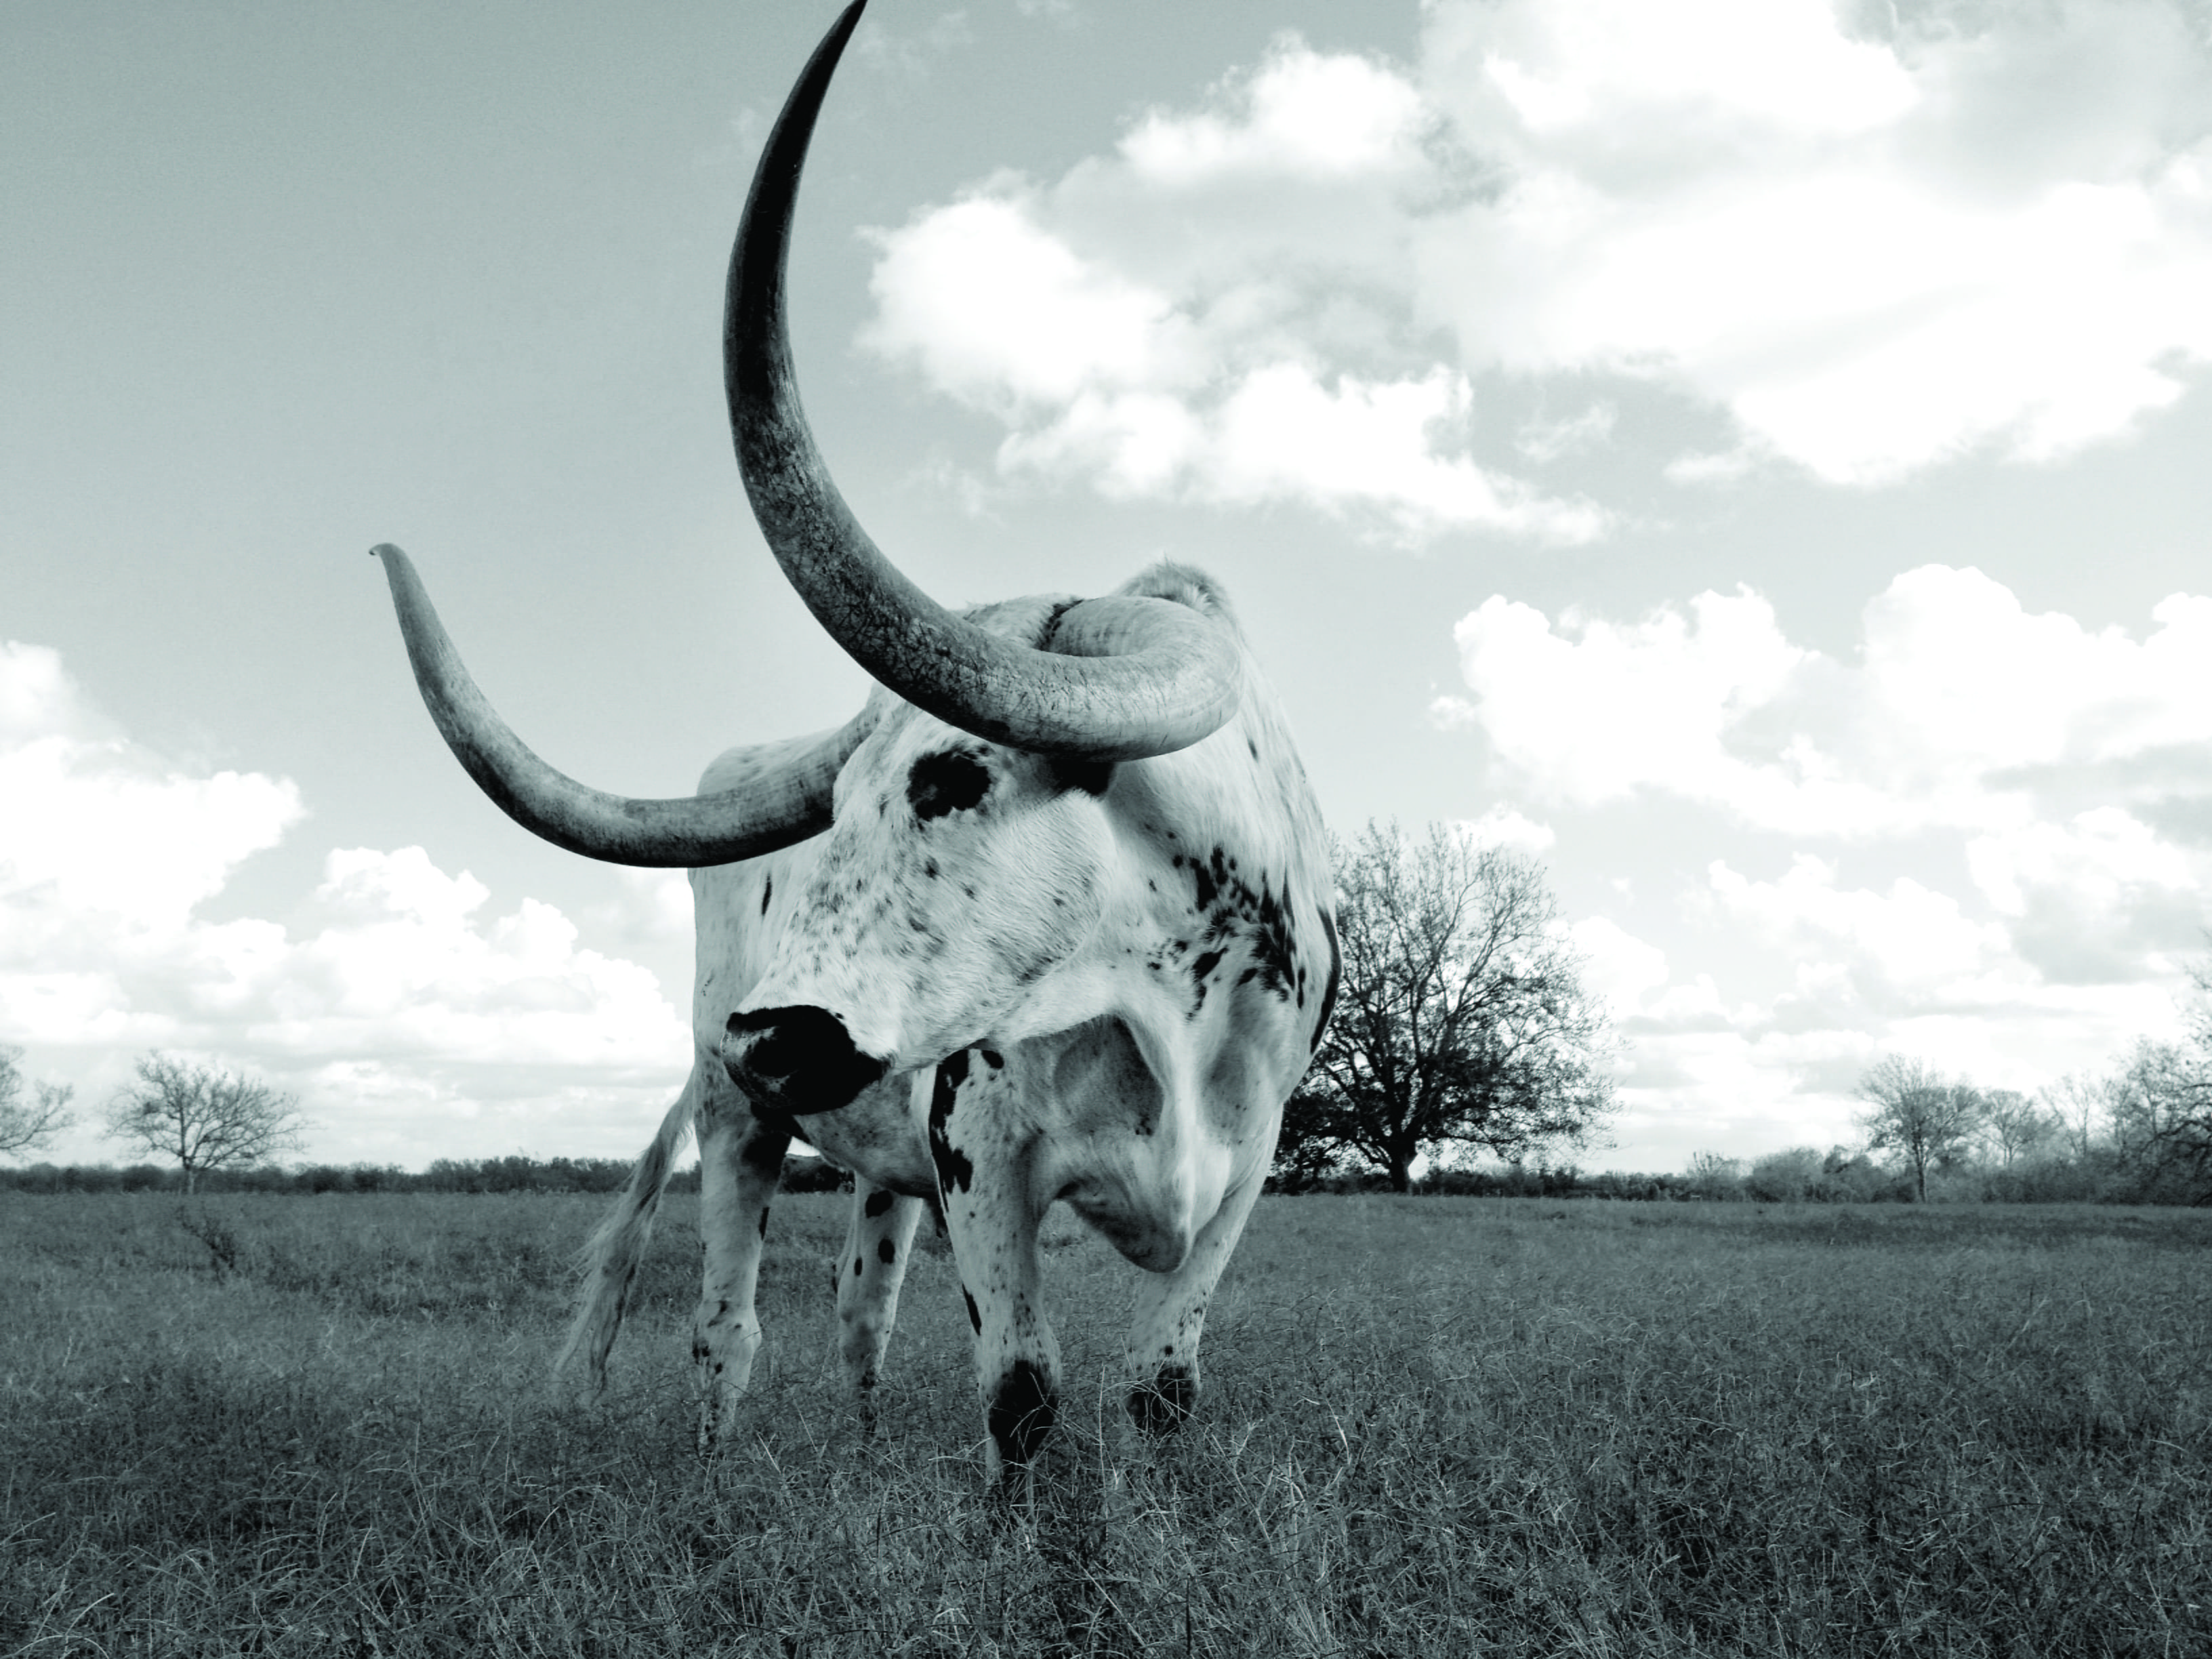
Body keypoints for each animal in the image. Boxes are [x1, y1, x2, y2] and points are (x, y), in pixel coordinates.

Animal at [369, 0, 1336, 1480]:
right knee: (728, 1324)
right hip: (736, 1127)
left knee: (857, 1317)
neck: (1164, 994)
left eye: (951, 776)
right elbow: (1022, 1393)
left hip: (872, 1166)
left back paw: (869, 1446)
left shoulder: (1245, 1168)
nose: (772, 1033)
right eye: (835, 815)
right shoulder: (980, 1151)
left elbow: (1158, 1385)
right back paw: (715, 1466)